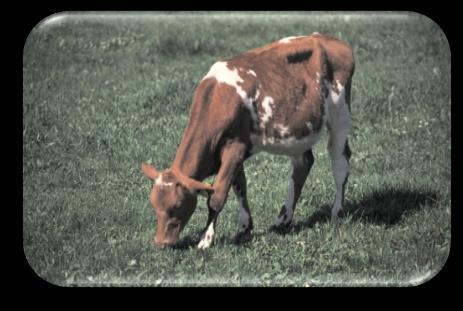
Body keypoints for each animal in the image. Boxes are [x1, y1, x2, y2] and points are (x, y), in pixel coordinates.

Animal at [141, 33, 356, 250]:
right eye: (153, 203)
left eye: (177, 205)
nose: (161, 243)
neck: (218, 100)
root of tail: (331, 39)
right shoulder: (234, 151)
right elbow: (239, 186)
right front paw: (245, 227)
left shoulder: (235, 148)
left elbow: (218, 195)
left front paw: (205, 239)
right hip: (298, 129)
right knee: (303, 164)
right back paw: (283, 220)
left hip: (340, 114)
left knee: (340, 162)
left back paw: (336, 212)